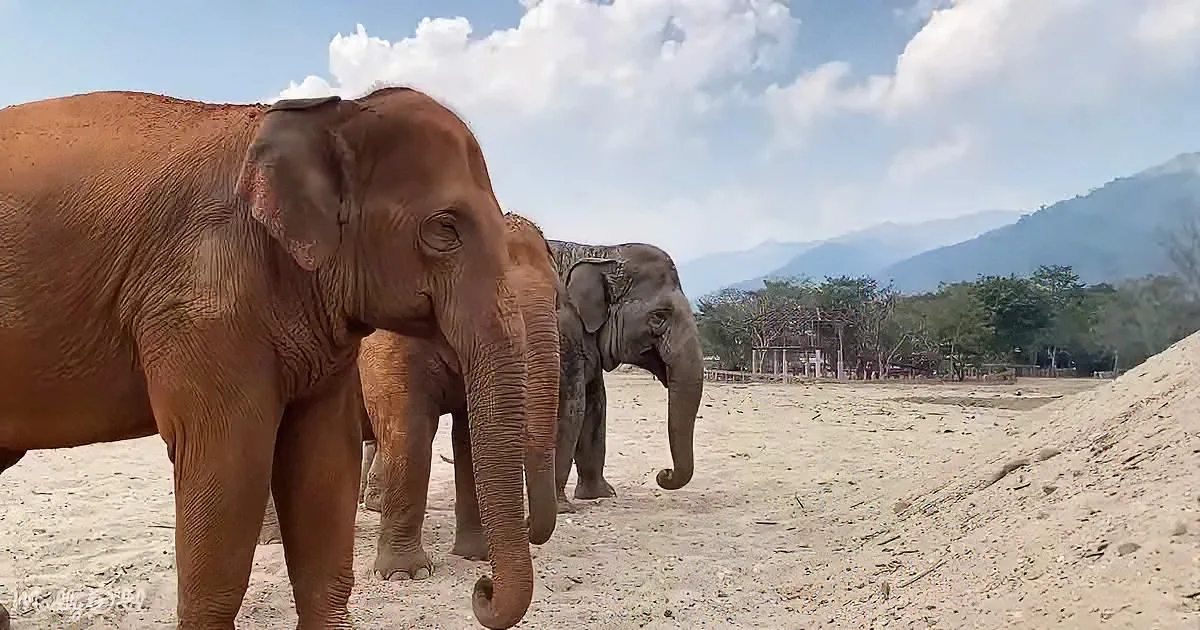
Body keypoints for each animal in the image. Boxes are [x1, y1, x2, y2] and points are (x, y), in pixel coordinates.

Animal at [260, 213, 564, 584]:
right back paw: (272, 539)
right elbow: (409, 430)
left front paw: (474, 555)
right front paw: (405, 574)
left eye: (558, 299)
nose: (527, 521)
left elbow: (468, 435)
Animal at [546, 241, 705, 513]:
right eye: (659, 316)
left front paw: (602, 495)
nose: (663, 473)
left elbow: (595, 406)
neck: (601, 252)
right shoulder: (561, 332)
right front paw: (562, 509)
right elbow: (569, 408)